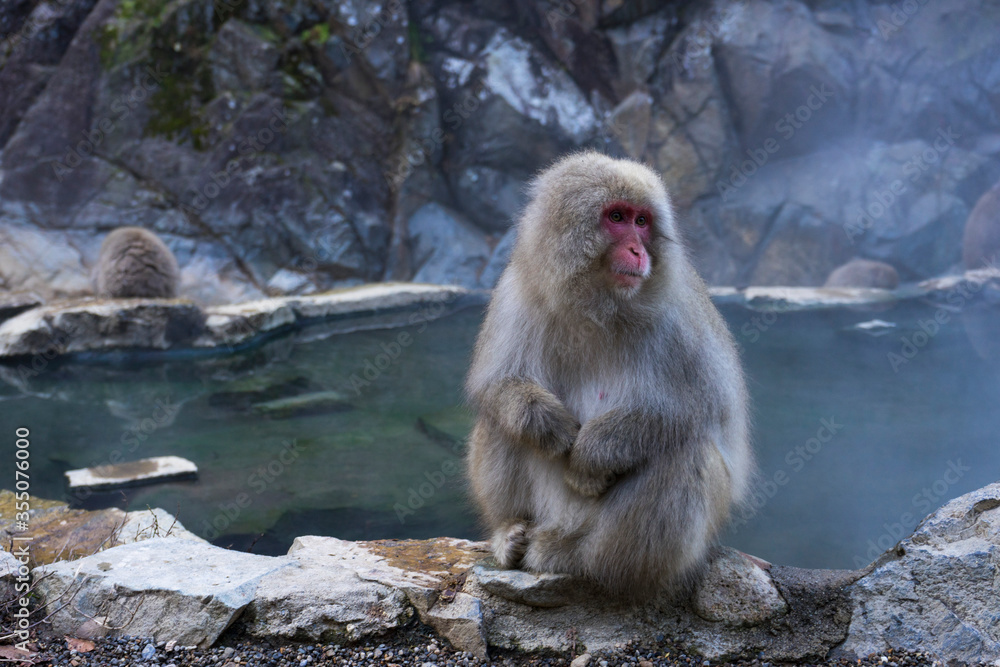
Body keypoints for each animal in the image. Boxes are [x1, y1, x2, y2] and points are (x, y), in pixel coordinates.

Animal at [465, 151, 752, 599]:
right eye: (617, 216)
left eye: (642, 221)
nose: (637, 250)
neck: (597, 306)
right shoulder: (516, 294)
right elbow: (499, 384)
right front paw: (546, 423)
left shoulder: (680, 316)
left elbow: (700, 410)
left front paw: (591, 454)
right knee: (498, 421)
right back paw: (511, 531)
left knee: (687, 452)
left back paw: (581, 558)